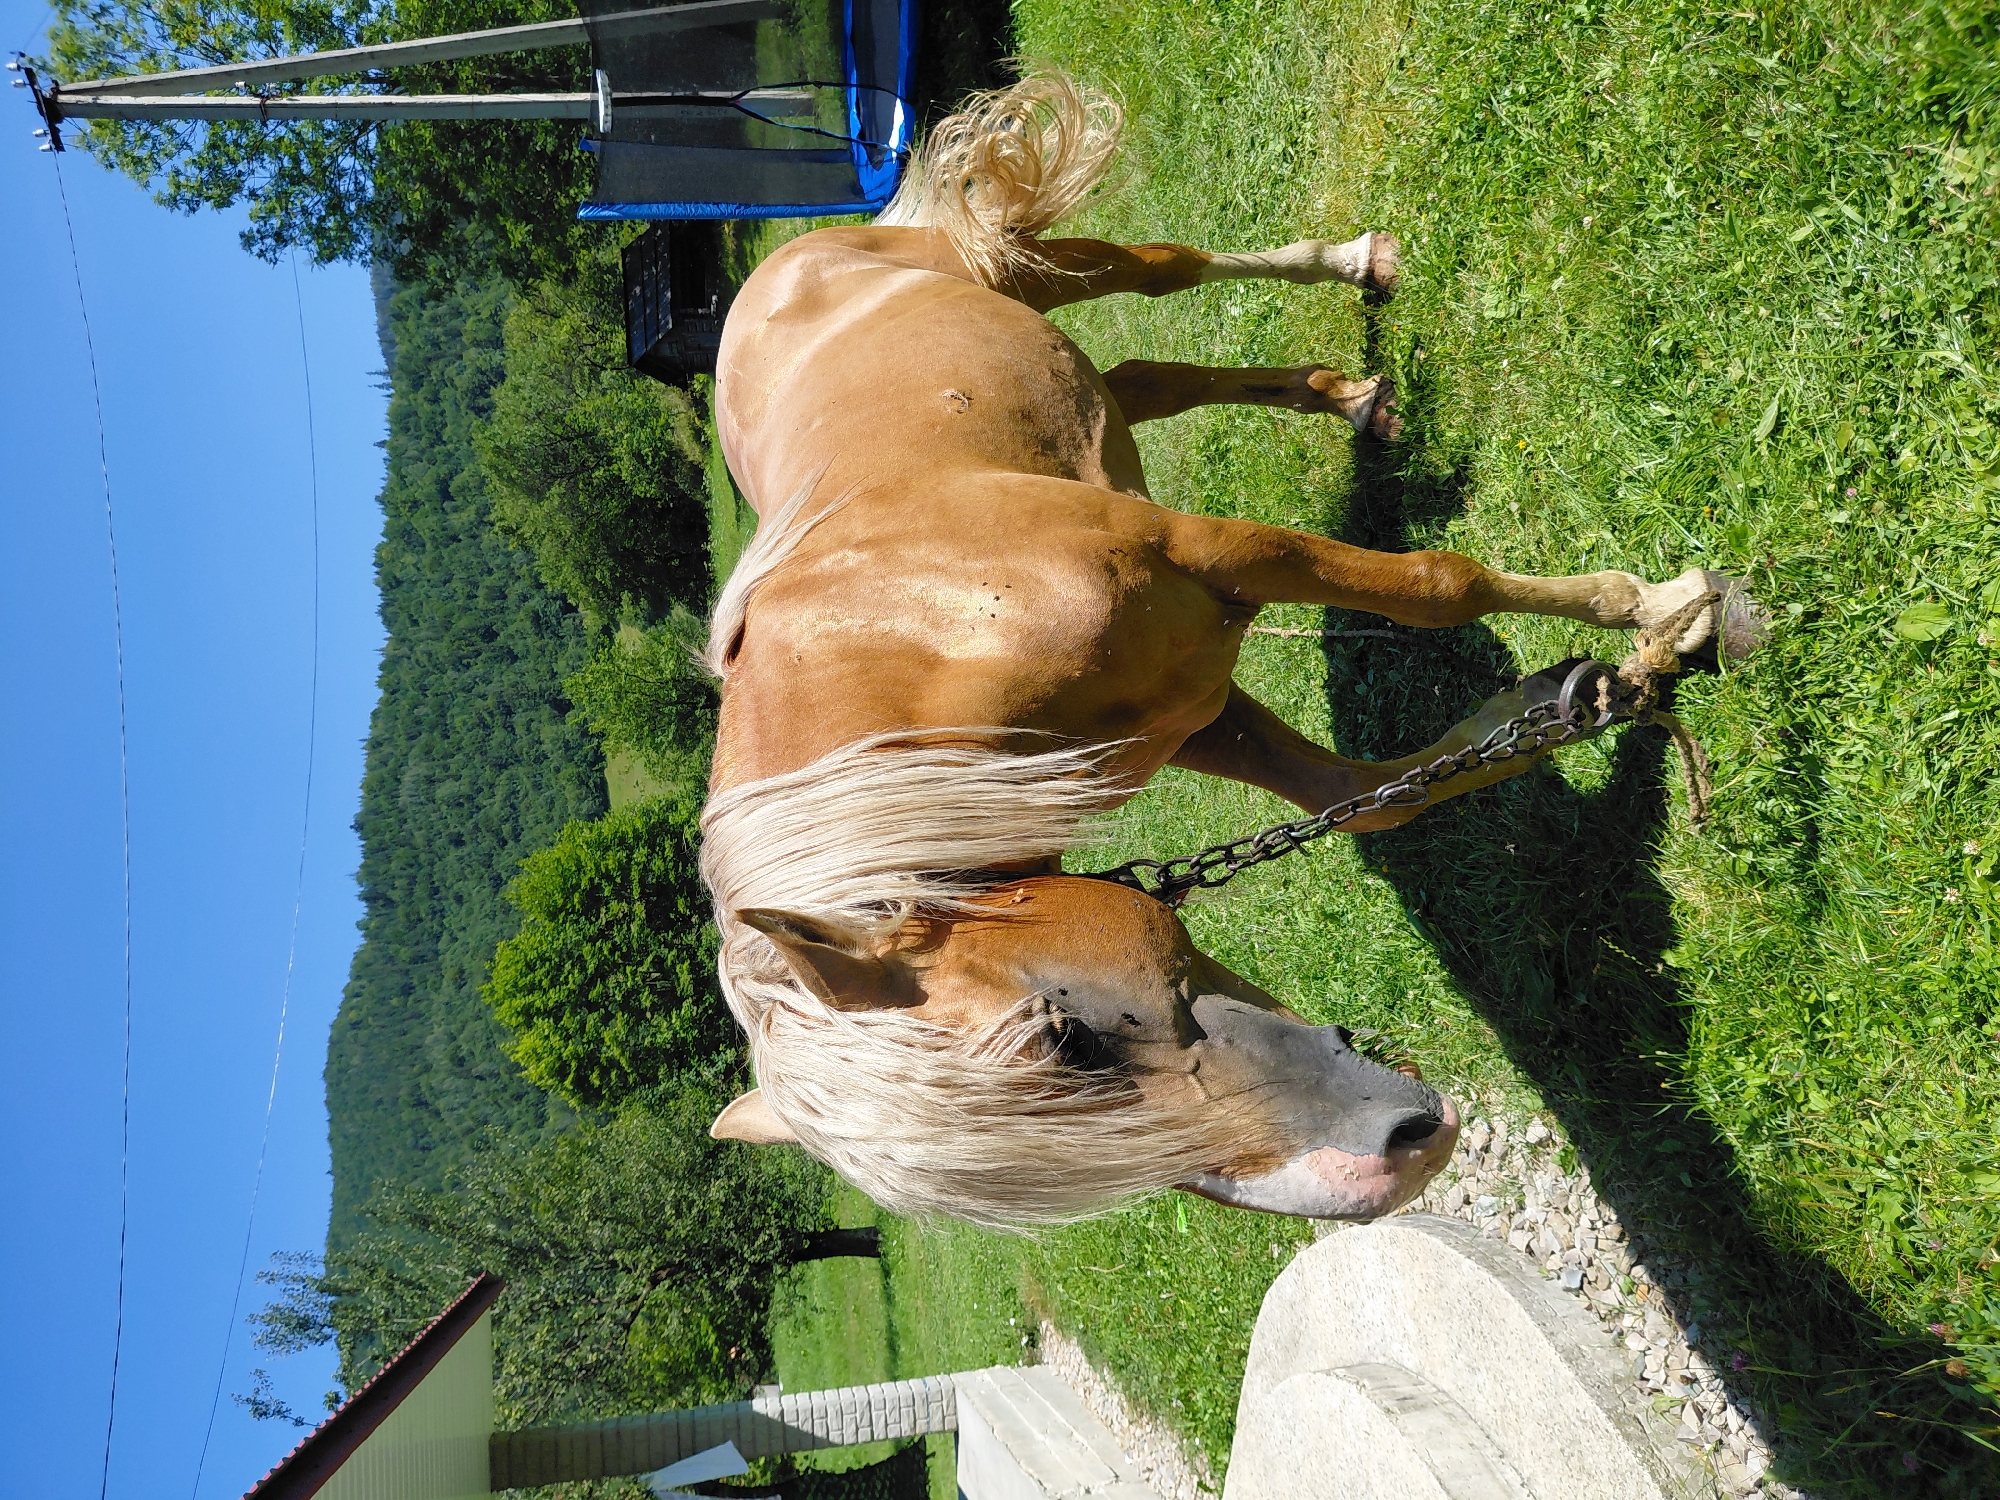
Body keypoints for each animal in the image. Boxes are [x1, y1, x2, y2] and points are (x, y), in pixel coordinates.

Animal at [697, 73, 1758, 1229]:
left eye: (1063, 1039)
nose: (1389, 1161)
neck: (924, 635)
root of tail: (777, 272)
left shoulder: (1215, 560)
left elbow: (1442, 586)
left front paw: (1669, 610)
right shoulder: (1200, 707)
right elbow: (1366, 797)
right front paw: (1570, 701)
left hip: (1037, 270)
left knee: (1166, 273)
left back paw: (1356, 264)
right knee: (1141, 378)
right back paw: (1347, 397)